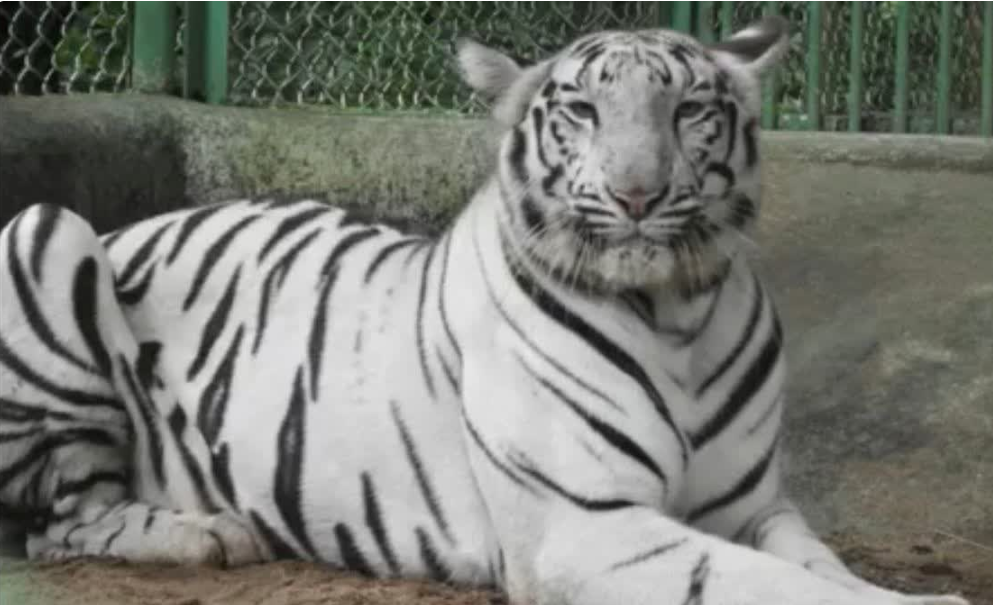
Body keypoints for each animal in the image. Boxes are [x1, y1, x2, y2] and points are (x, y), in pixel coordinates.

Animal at [0, 16, 970, 605]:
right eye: (581, 110)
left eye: (691, 109)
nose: (637, 195)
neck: (676, 315)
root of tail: (132, 222)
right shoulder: (583, 524)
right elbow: (770, 585)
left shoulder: (755, 507)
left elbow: (818, 566)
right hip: (46, 232)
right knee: (58, 524)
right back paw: (210, 532)